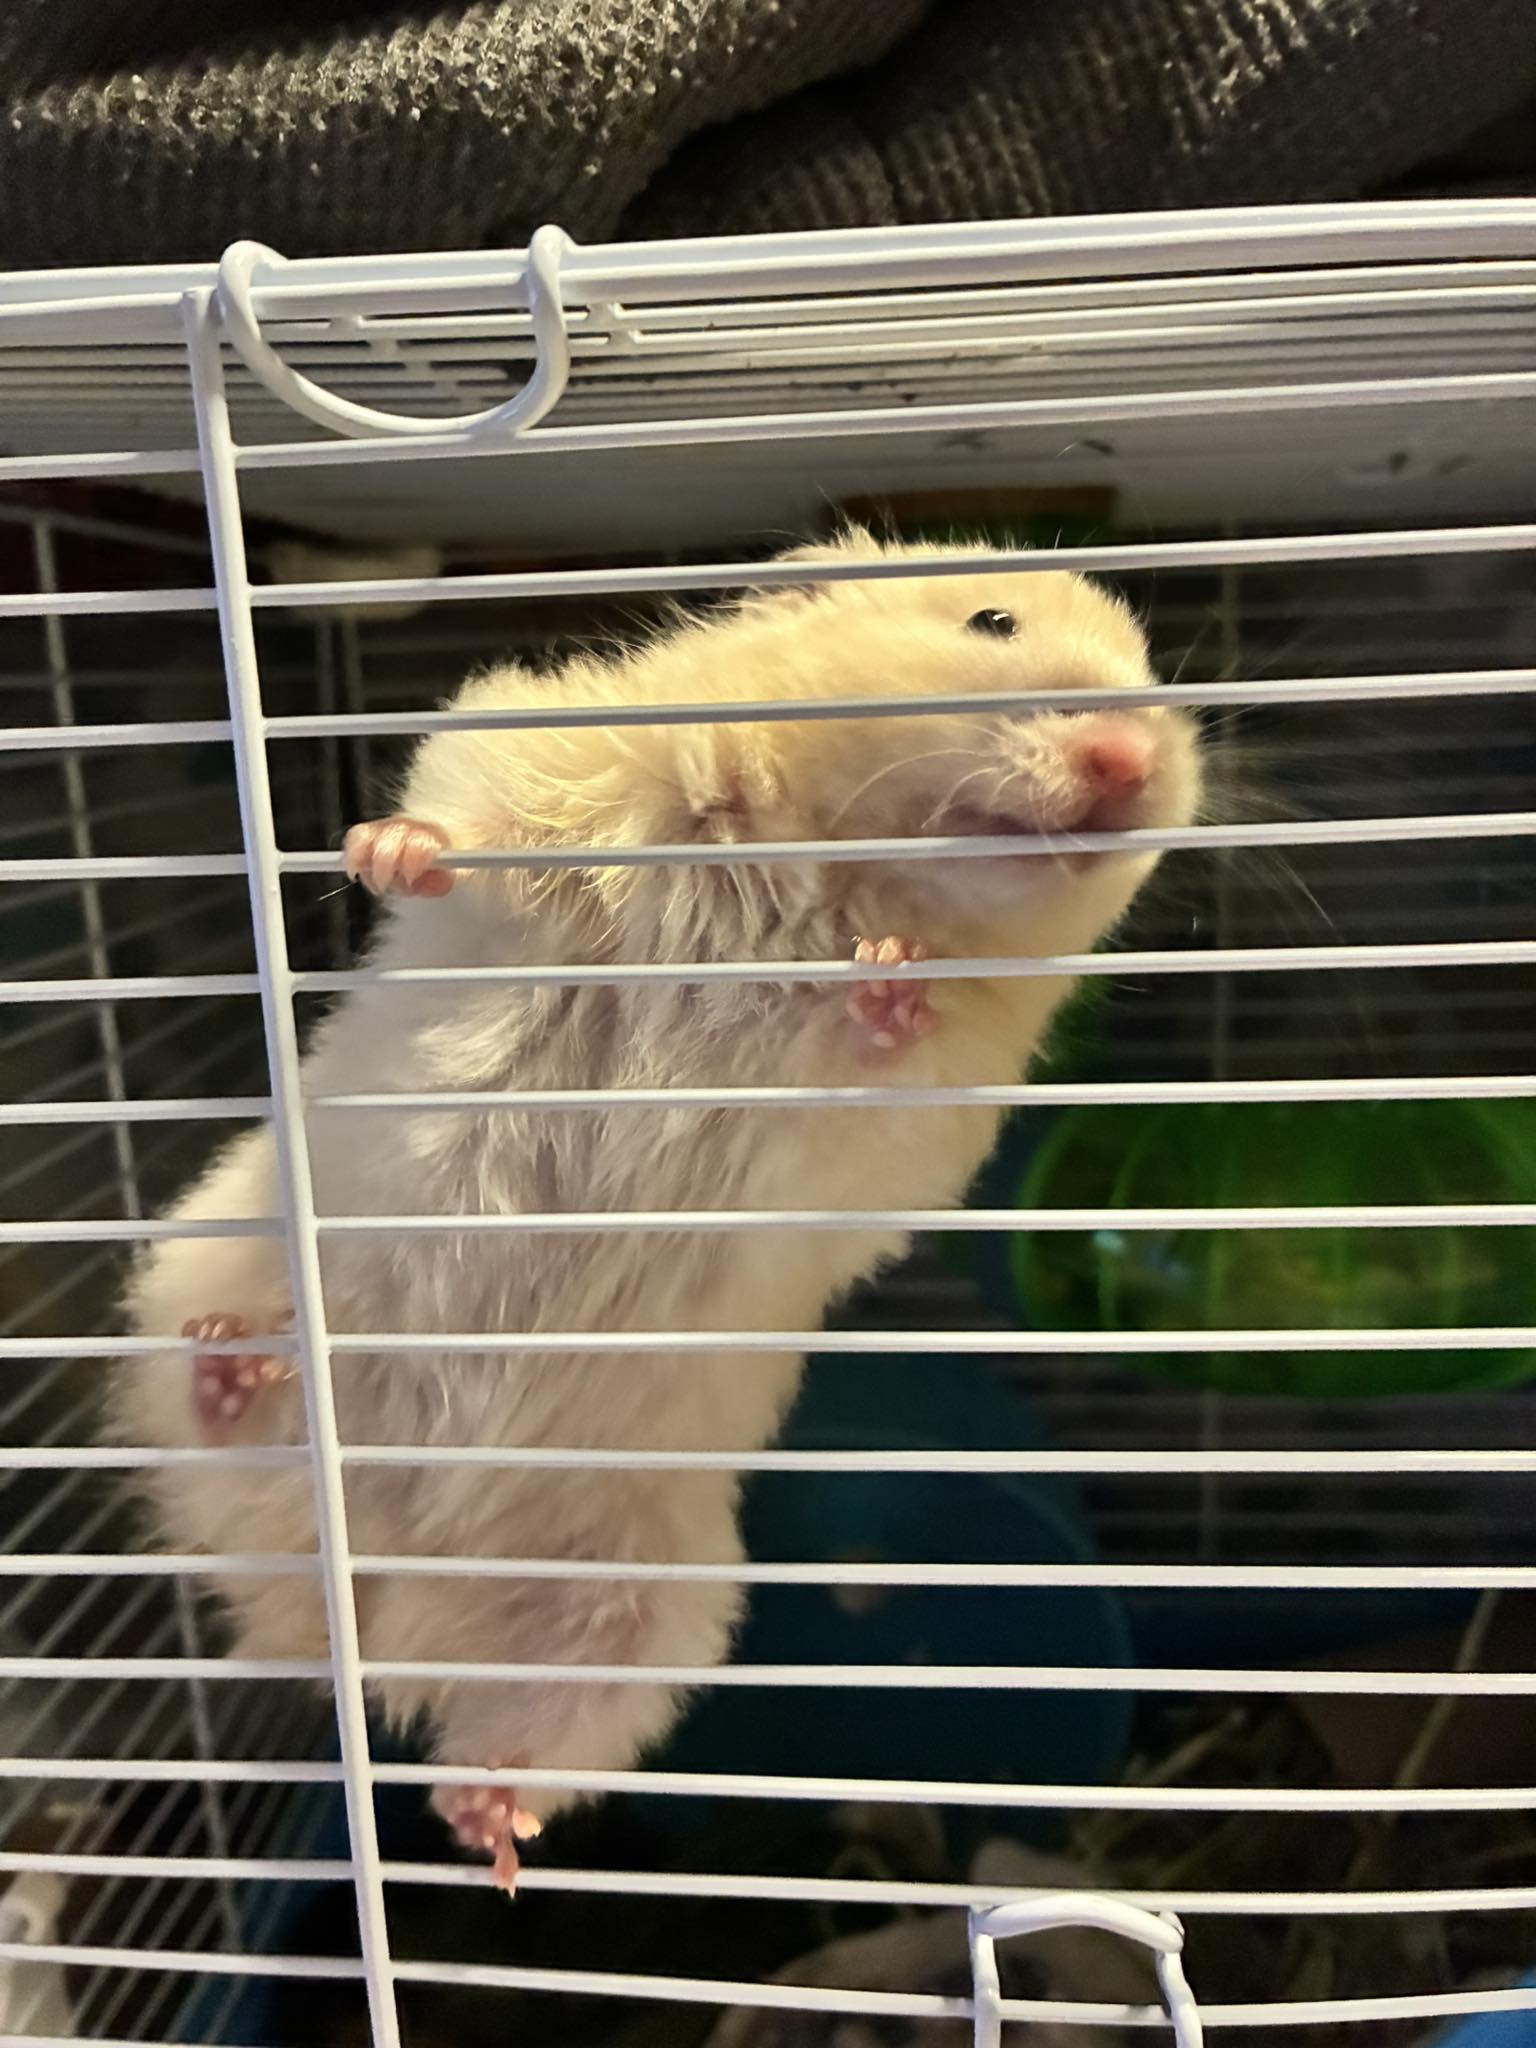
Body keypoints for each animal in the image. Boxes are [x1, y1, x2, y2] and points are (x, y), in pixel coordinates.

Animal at [108, 529, 1202, 1889]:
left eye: (1154, 681)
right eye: (991, 620)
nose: (1130, 758)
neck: (840, 866)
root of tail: (375, 1615)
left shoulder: (926, 1115)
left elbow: (882, 1062)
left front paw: (890, 982)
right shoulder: (566, 775)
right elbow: (471, 826)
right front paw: (385, 847)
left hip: (651, 1607)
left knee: (529, 1731)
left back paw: (490, 1831)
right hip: (204, 1261)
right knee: (212, 1415)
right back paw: (236, 1367)